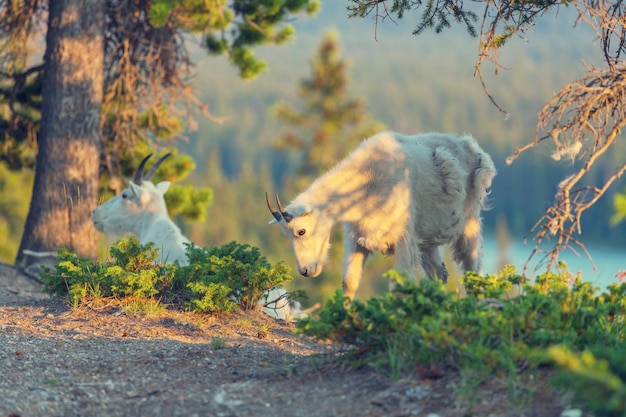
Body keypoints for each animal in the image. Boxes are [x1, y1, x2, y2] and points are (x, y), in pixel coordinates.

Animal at [266, 132, 494, 298]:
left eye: (301, 231)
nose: (305, 270)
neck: (367, 181)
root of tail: (475, 149)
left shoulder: (403, 239)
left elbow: (397, 286)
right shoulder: (357, 236)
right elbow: (349, 281)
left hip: (469, 223)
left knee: (473, 270)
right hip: (426, 238)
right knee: (440, 274)